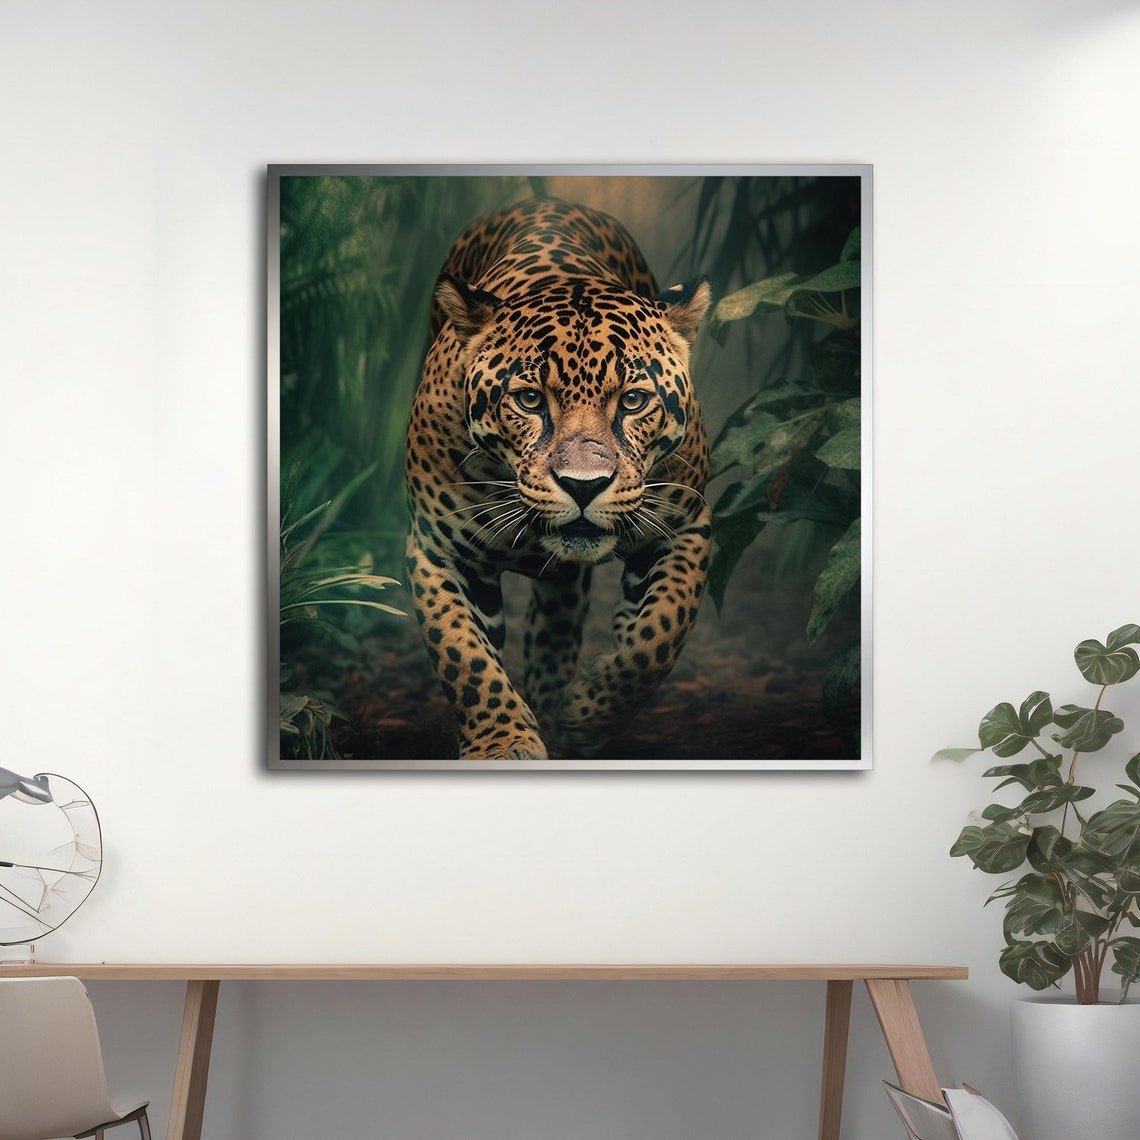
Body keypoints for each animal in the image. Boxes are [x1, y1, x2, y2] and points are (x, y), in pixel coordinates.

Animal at [404, 196, 712, 760]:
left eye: (633, 400)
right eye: (529, 400)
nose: (583, 485)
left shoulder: (687, 524)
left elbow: (659, 633)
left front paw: (588, 712)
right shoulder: (438, 549)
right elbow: (464, 656)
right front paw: (502, 742)